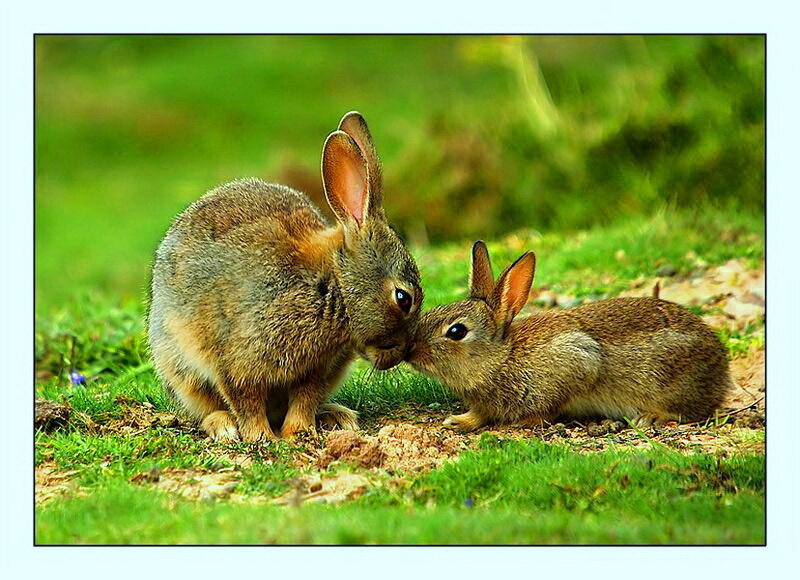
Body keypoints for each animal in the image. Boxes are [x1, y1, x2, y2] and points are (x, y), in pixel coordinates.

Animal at [148, 112, 422, 442]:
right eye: (403, 298)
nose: (400, 355)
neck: (332, 285)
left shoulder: (317, 368)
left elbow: (305, 396)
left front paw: (299, 431)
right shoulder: (238, 357)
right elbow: (246, 399)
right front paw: (261, 436)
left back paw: (336, 416)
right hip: (179, 365)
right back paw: (224, 426)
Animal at [406, 241, 733, 431]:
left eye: (457, 331)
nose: (411, 352)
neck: (502, 357)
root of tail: (721, 363)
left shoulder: (578, 359)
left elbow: (549, 406)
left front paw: (523, 422)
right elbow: (479, 415)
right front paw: (458, 421)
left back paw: (654, 417)